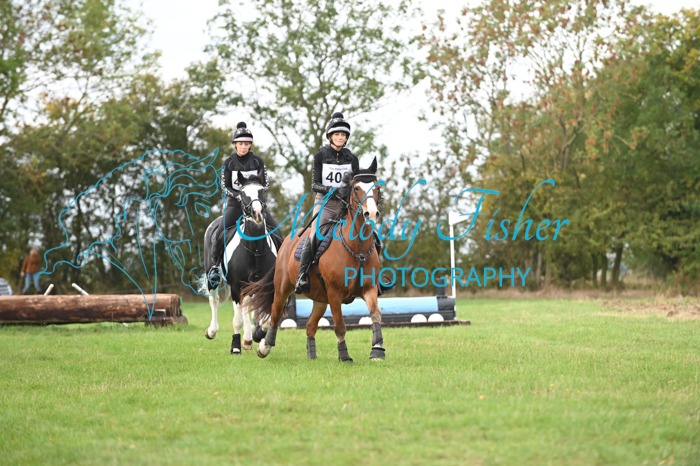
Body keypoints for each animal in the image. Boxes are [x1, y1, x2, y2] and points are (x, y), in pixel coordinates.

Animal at [200, 171, 282, 355]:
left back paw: (248, 339)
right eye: (243, 194)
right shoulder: (236, 286)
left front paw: (260, 341)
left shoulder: (266, 286)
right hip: (213, 277)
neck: (255, 248)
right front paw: (235, 347)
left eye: (262, 191)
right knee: (214, 301)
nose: (257, 213)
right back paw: (212, 331)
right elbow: (236, 320)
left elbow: (267, 318)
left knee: (247, 306)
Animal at [241, 158, 386, 362]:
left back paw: (311, 354)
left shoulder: (369, 289)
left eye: (377, 188)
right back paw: (265, 346)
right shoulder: (334, 293)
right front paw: (344, 355)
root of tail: (287, 240)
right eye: (357, 188)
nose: (371, 214)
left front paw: (377, 349)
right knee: (275, 314)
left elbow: (375, 315)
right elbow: (340, 325)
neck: (357, 248)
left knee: (310, 325)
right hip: (284, 288)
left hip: (320, 298)